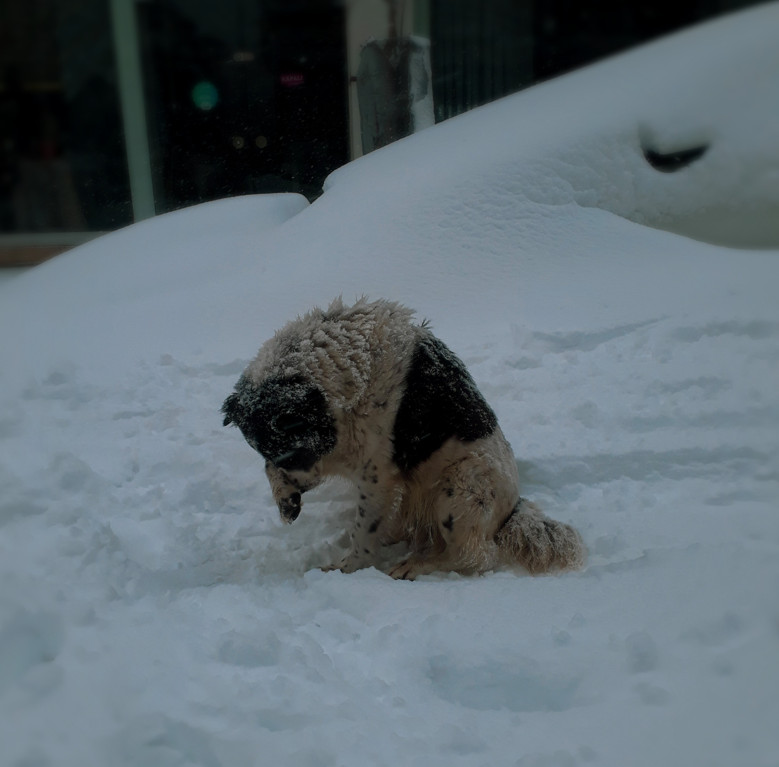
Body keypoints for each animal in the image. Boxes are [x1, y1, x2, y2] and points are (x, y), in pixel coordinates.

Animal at [221, 296, 584, 580]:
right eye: (271, 451)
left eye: (295, 452)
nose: (299, 494)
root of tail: (515, 507)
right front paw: (284, 497)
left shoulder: (375, 473)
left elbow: (363, 530)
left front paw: (346, 568)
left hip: (460, 483)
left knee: (477, 555)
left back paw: (415, 566)